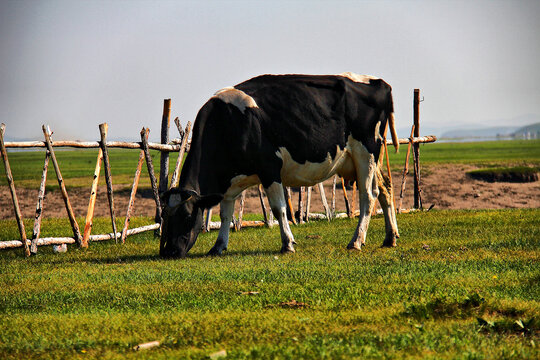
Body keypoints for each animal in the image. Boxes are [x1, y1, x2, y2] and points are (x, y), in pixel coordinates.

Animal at [158, 74, 398, 258]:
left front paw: (288, 244)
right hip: (368, 157)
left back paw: (356, 240)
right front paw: (218, 247)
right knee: (385, 188)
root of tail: (379, 82)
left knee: (369, 194)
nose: (170, 252)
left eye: (187, 216)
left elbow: (278, 208)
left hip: (366, 151)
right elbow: (226, 213)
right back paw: (390, 237)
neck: (227, 123)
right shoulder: (230, 182)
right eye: (165, 217)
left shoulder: (269, 168)